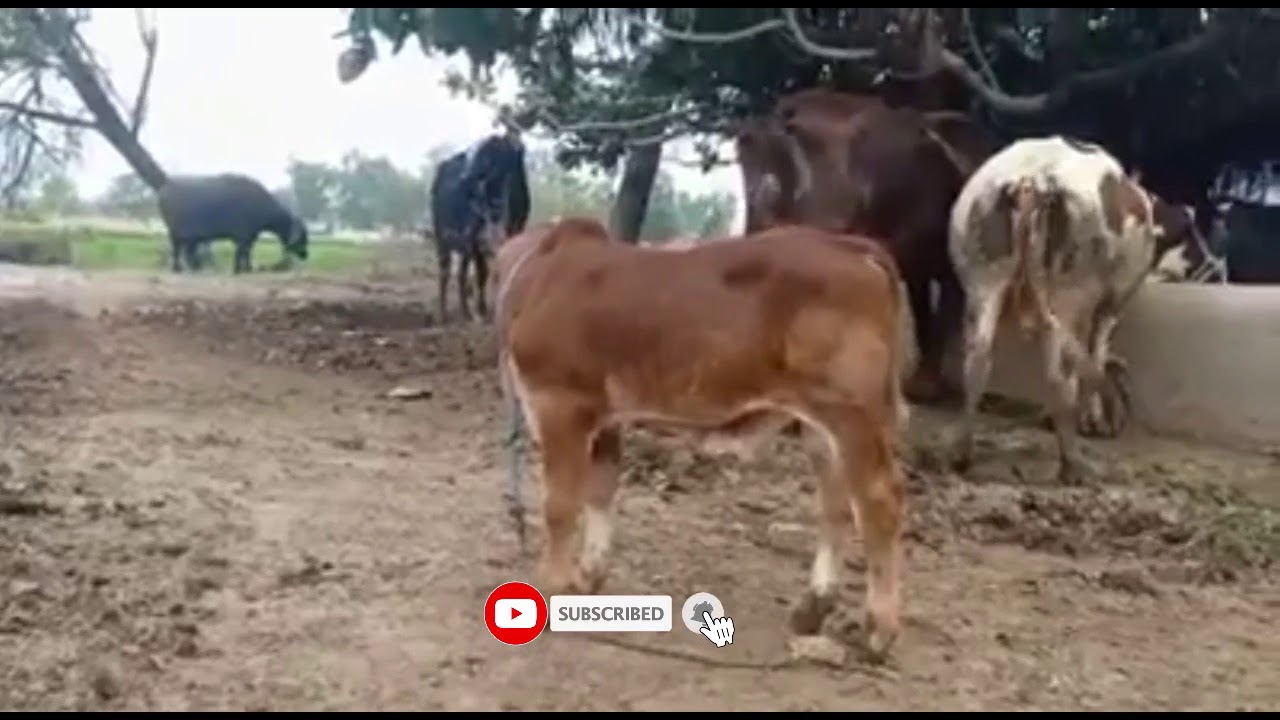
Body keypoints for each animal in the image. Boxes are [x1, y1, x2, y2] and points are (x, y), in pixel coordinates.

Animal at [156, 173, 309, 274]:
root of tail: (165, 187)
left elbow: (246, 252)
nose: (305, 254)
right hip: (175, 233)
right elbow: (241, 252)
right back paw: (177, 268)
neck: (260, 205)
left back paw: (193, 268)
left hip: (189, 237)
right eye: (303, 236)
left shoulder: (250, 237)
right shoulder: (243, 236)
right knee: (177, 250)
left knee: (188, 252)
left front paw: (247, 268)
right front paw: (238, 269)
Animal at [427, 129, 531, 325]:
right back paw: (444, 314)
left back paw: (465, 312)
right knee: (445, 272)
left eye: (487, 154)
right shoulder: (475, 240)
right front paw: (482, 310)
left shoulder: (515, 230)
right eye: (477, 151)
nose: (464, 177)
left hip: (463, 246)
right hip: (443, 238)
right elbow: (482, 274)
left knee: (461, 274)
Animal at [493, 216, 915, 661]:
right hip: (822, 424)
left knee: (879, 502)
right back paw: (812, 607)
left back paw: (879, 629)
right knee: (836, 503)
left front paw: (551, 585)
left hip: (853, 414)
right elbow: (600, 492)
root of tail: (850, 246)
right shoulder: (605, 417)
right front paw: (588, 576)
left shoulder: (559, 403)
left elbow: (559, 505)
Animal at [946, 136, 1166, 485]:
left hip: (982, 279)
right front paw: (1094, 420)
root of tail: (1031, 178)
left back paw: (961, 455)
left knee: (978, 359)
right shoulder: (1109, 307)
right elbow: (1097, 354)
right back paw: (1071, 463)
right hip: (1067, 294)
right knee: (1060, 373)